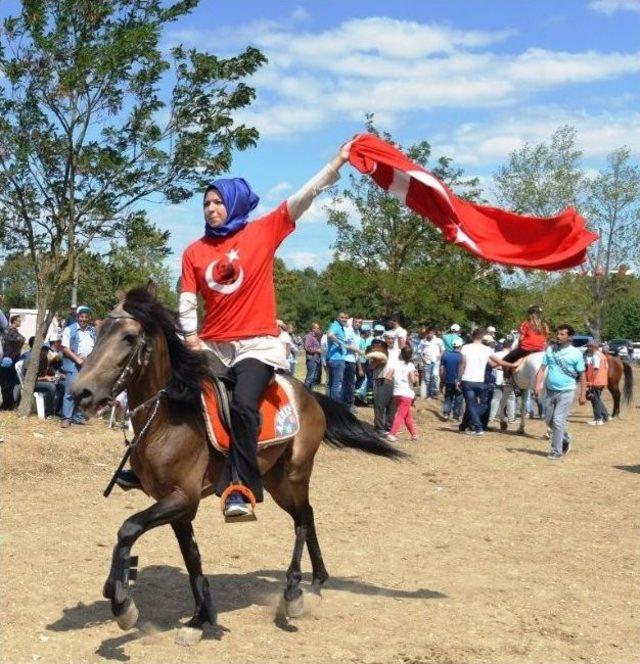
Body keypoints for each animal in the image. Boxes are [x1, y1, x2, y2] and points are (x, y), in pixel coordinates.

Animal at [71, 286, 404, 644]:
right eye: (99, 330)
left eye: (129, 337)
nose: (81, 393)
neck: (169, 418)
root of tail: (309, 394)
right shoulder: (176, 504)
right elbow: (191, 558)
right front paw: (199, 618)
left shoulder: (183, 498)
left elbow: (128, 529)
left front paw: (122, 603)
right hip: (274, 480)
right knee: (307, 515)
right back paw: (315, 584)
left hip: (296, 473)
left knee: (302, 521)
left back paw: (293, 592)